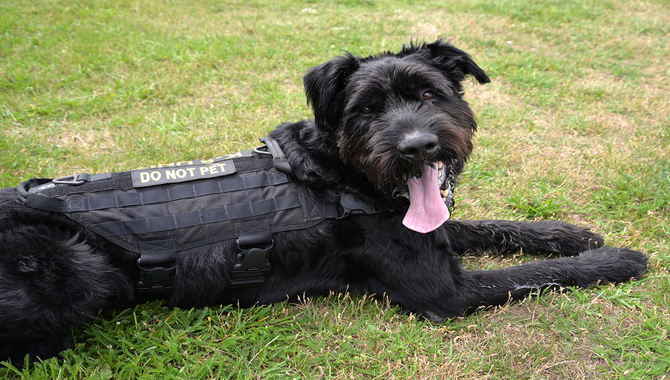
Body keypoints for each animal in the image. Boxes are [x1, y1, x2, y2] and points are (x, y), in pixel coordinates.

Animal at [1, 40, 652, 368]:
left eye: (428, 94)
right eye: (366, 109)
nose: (418, 147)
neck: (342, 174)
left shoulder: (428, 231)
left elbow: (491, 226)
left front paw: (568, 232)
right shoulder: (446, 292)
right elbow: (537, 275)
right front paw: (619, 259)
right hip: (72, 264)